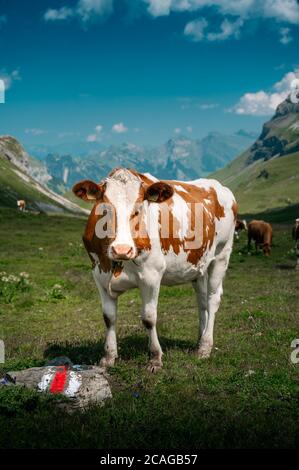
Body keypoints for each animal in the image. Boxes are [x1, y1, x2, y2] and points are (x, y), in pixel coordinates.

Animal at [72, 168, 237, 370]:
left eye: (138, 209)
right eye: (105, 210)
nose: (121, 249)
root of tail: (218, 186)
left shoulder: (151, 275)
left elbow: (149, 318)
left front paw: (155, 358)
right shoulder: (99, 275)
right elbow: (109, 317)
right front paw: (108, 357)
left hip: (222, 255)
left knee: (213, 299)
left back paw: (205, 347)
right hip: (199, 266)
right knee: (202, 301)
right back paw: (200, 340)